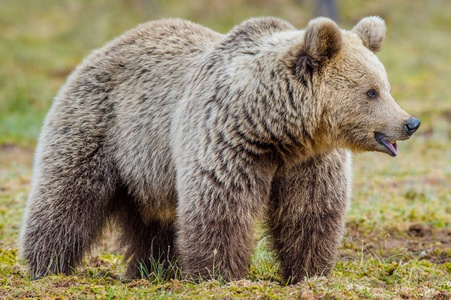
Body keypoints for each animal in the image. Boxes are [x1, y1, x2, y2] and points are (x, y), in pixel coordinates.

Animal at [18, 16, 420, 284]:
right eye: (371, 91)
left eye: (385, 86)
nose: (409, 122)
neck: (277, 130)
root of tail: (106, 47)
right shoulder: (226, 142)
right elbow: (220, 208)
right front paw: (218, 274)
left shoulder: (309, 162)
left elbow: (310, 213)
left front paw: (309, 273)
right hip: (102, 127)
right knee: (67, 198)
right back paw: (45, 266)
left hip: (150, 168)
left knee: (153, 222)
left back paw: (152, 271)